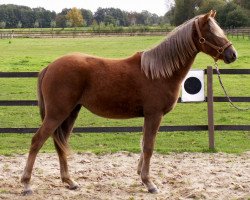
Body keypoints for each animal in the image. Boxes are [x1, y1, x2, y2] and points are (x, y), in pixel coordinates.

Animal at [21, 10, 236, 195]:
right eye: (211, 32)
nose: (232, 54)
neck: (158, 72)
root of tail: (49, 67)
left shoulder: (148, 116)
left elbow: (143, 145)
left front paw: (142, 176)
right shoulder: (154, 115)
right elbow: (148, 146)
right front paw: (149, 183)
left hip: (71, 112)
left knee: (60, 143)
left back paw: (70, 182)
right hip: (57, 113)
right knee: (37, 141)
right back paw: (26, 184)